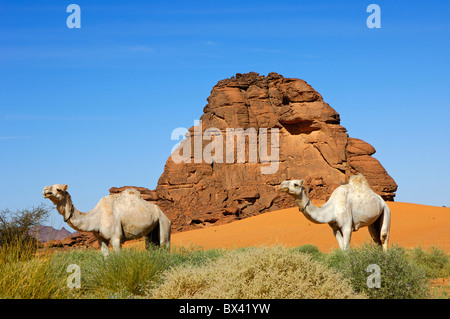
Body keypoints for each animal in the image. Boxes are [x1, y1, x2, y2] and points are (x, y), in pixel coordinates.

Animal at [43, 185, 171, 258]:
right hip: (151, 232)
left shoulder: (116, 238)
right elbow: (106, 257)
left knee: (165, 246)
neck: (96, 218)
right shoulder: (101, 239)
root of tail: (163, 214)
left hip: (164, 223)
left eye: (58, 189)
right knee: (151, 247)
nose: (45, 190)